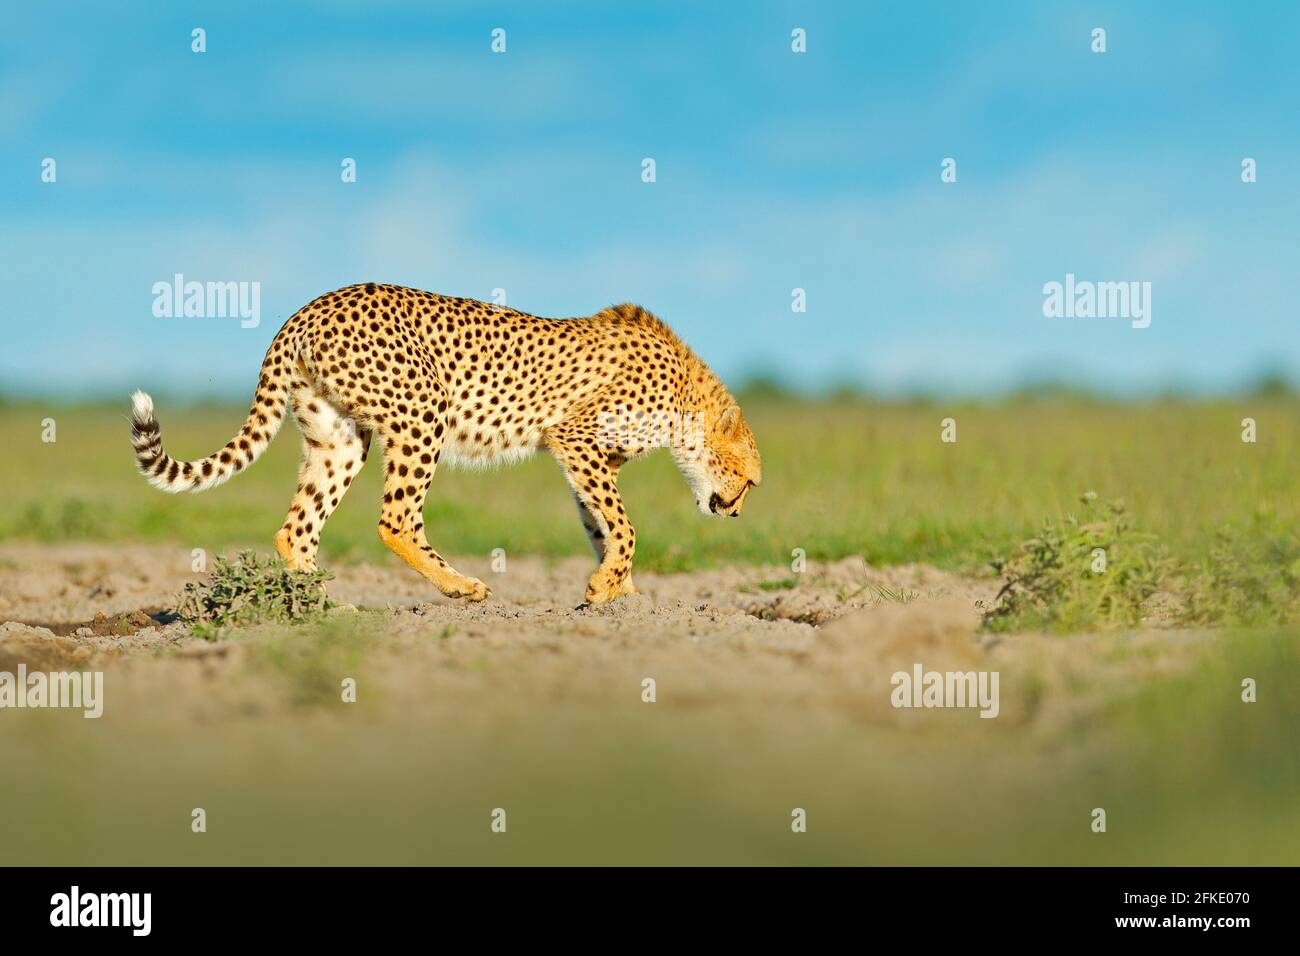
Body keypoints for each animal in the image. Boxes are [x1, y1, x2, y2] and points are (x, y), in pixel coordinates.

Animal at [129, 280, 759, 600]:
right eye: (751, 481)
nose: (735, 512)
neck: (688, 396)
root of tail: (309, 307)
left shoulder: (586, 457)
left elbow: (600, 525)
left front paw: (618, 590)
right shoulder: (574, 436)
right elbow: (624, 526)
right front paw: (610, 585)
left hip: (341, 437)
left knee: (296, 529)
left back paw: (322, 608)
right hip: (423, 411)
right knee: (396, 519)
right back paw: (461, 587)